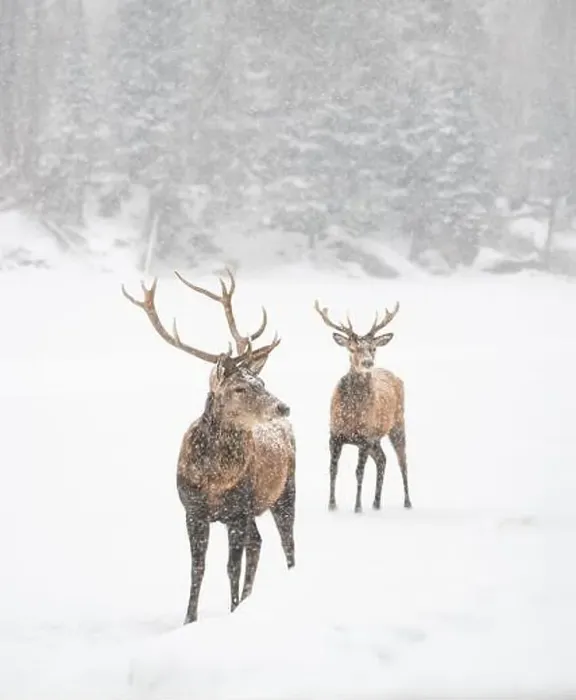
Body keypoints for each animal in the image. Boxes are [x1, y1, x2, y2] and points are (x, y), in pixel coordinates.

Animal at [122, 271, 296, 624]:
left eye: (262, 383)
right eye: (240, 387)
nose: (283, 407)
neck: (214, 481)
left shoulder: (238, 511)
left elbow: (230, 567)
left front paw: (232, 611)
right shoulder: (192, 510)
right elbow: (197, 569)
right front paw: (190, 619)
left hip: (284, 491)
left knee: (287, 544)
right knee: (259, 542)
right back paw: (249, 599)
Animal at [314, 299, 412, 513]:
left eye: (373, 348)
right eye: (351, 348)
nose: (368, 362)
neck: (351, 414)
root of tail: (397, 377)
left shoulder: (364, 438)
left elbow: (359, 472)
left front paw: (357, 507)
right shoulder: (335, 434)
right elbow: (333, 469)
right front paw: (331, 505)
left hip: (397, 424)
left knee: (402, 461)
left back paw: (407, 502)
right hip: (376, 437)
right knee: (383, 459)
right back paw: (376, 502)